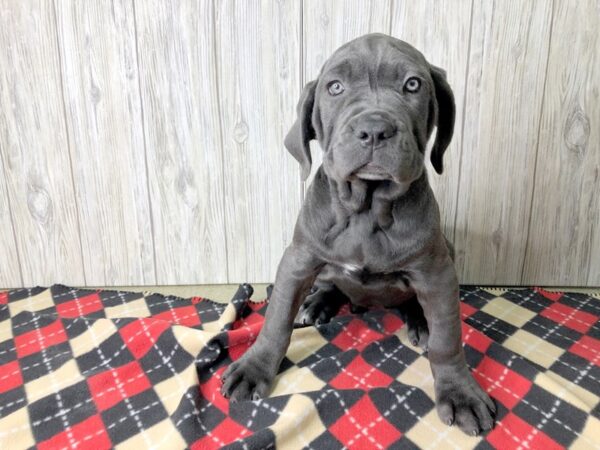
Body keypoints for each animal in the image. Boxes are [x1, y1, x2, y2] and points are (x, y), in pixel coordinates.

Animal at [223, 32, 494, 436]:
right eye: (335, 87)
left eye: (412, 85)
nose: (375, 131)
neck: (368, 210)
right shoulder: (297, 260)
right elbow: (276, 319)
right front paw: (255, 367)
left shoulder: (438, 272)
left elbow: (449, 339)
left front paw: (459, 392)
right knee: (331, 286)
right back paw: (318, 303)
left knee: (415, 305)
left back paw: (419, 321)